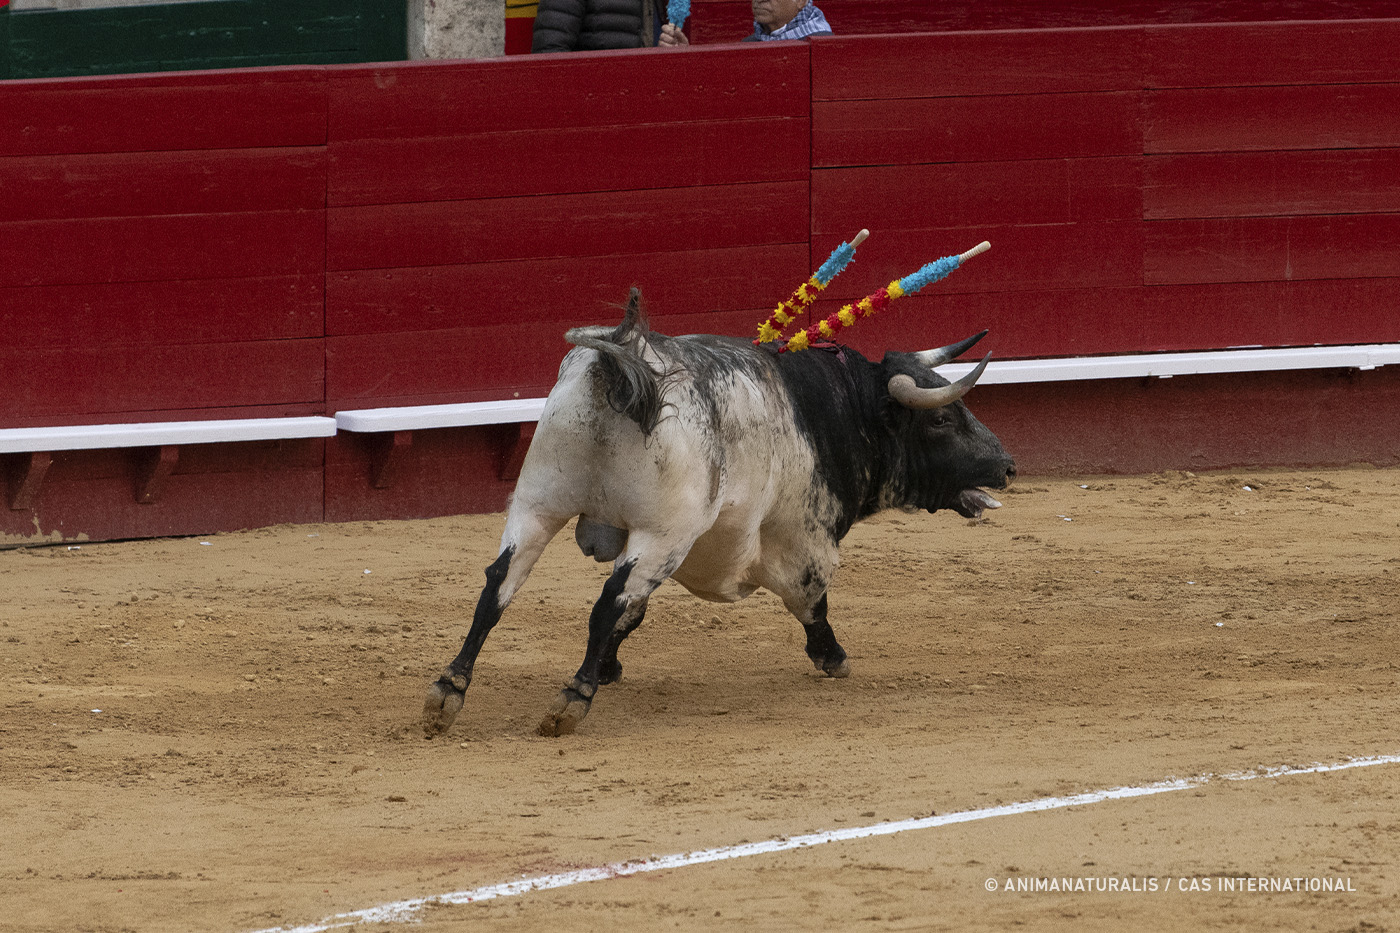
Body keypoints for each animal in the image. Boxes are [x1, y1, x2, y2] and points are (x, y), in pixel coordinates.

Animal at [420, 291, 1013, 734]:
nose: (1007, 465)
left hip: (538, 502)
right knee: (608, 600)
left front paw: (610, 667)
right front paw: (833, 657)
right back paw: (571, 700)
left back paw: (448, 691)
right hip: (663, 532)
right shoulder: (804, 539)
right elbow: (812, 600)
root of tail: (620, 366)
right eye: (942, 419)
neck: (834, 410)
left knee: (500, 584)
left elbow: (633, 613)